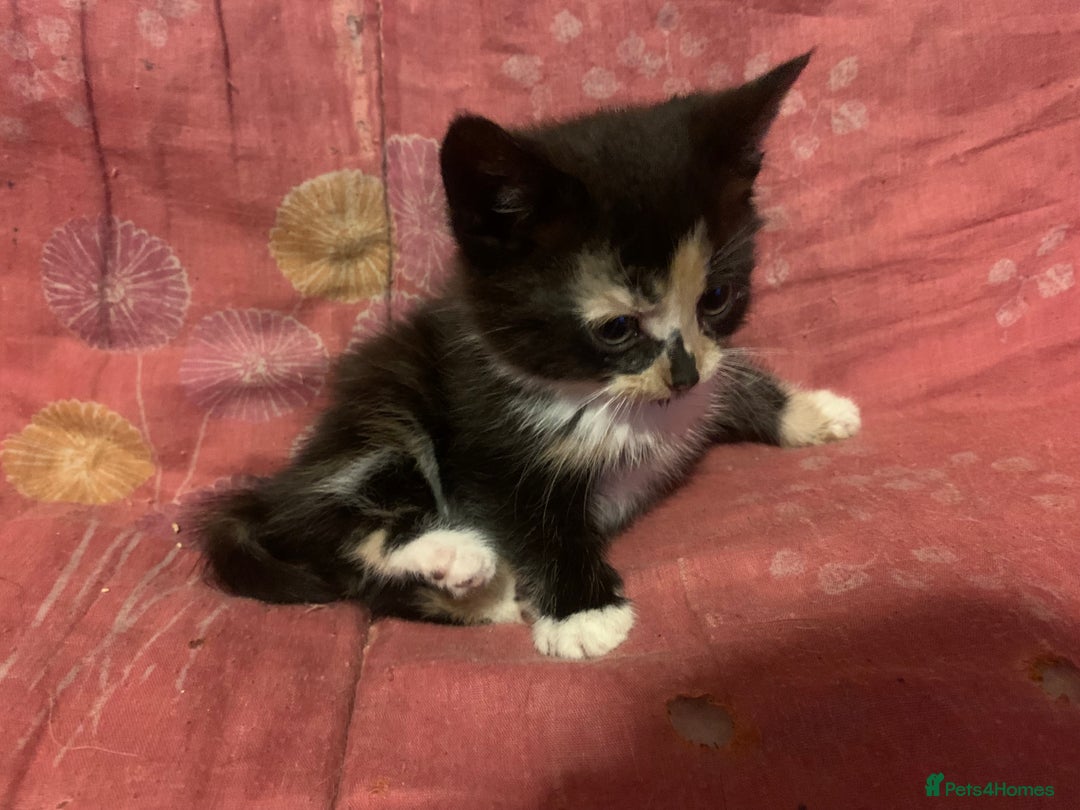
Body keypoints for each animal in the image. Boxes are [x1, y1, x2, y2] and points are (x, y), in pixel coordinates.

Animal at [195, 51, 860, 660]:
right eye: (617, 328)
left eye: (717, 298)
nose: (683, 374)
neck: (598, 397)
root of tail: (280, 482)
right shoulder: (488, 441)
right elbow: (530, 519)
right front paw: (582, 614)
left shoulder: (706, 372)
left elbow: (732, 379)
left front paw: (813, 411)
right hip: (385, 405)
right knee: (327, 535)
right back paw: (460, 558)